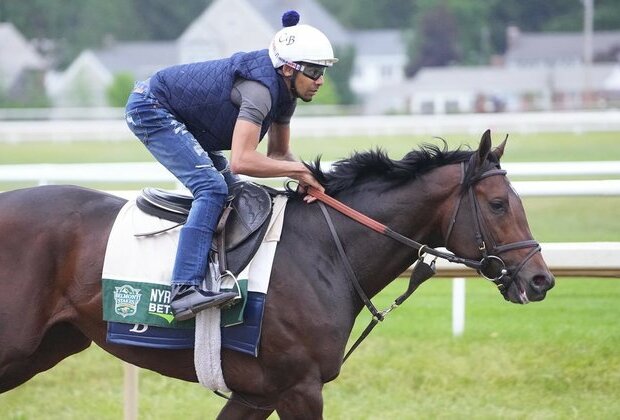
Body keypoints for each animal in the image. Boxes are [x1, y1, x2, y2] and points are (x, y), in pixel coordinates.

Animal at [0, 130, 552, 416]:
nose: (541, 279)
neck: (325, 252)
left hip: (48, 346)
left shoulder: (255, 393)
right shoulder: (300, 388)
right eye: (499, 204)